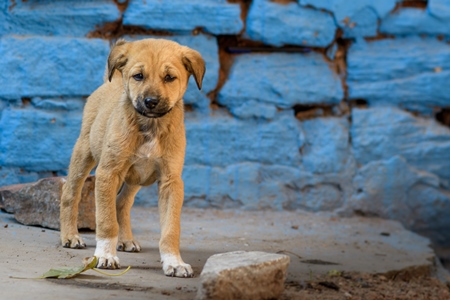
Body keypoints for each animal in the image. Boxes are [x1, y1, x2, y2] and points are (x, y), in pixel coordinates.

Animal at [59, 38, 206, 278]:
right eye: (138, 76)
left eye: (169, 77)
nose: (151, 101)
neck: (150, 125)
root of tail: (113, 80)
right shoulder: (108, 173)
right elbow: (106, 221)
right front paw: (105, 255)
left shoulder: (171, 181)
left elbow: (171, 229)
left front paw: (174, 262)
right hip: (84, 154)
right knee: (70, 194)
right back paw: (70, 236)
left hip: (136, 177)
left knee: (121, 202)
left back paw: (126, 240)